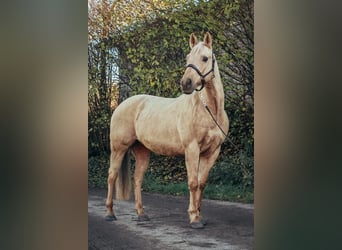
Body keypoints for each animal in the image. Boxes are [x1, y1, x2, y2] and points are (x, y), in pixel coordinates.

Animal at [105, 32, 228, 229]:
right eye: (187, 57)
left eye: (205, 58)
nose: (186, 83)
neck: (209, 110)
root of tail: (121, 105)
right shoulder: (192, 149)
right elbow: (193, 183)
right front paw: (194, 218)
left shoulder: (212, 152)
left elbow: (202, 183)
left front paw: (199, 214)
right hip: (118, 148)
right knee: (111, 176)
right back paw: (110, 213)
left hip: (142, 151)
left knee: (137, 179)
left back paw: (141, 214)